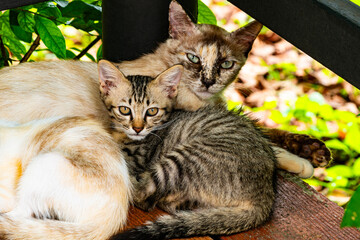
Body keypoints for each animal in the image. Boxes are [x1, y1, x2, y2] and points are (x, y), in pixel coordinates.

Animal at [97, 61, 278, 238]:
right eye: (124, 109)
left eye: (152, 111)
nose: (137, 129)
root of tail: (266, 194)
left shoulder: (138, 159)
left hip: (184, 159)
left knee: (142, 195)